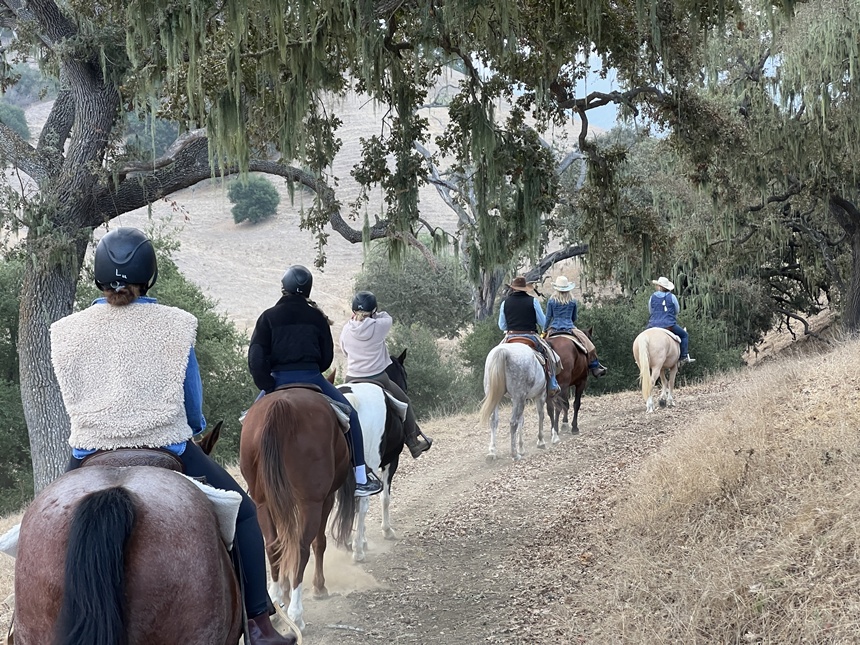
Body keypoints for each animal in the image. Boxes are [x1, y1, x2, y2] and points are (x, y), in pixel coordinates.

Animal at [239, 387, 355, 631]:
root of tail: (280, 407)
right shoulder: (325, 499)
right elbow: (318, 543)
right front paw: (319, 587)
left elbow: (285, 542)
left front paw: (283, 591)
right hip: (311, 503)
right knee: (302, 547)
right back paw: (296, 614)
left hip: (263, 502)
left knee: (273, 545)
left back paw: (276, 604)